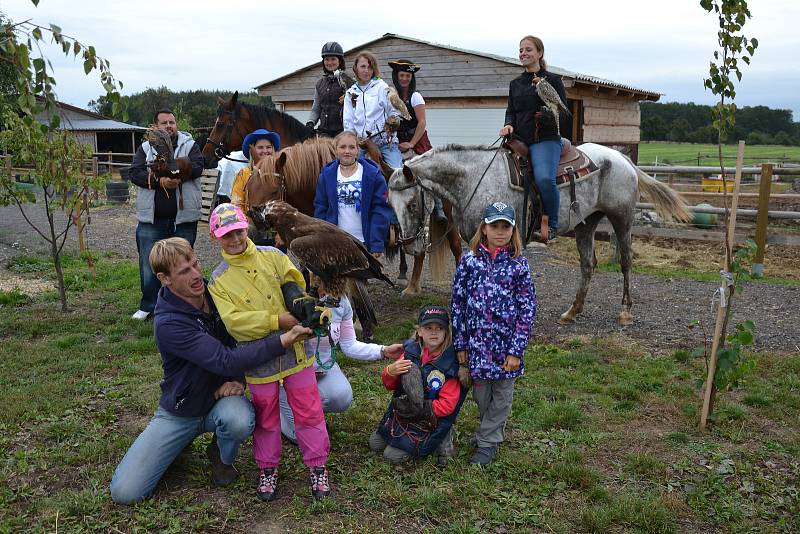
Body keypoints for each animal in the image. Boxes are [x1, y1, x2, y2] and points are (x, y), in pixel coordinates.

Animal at [244, 137, 462, 298]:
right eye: (248, 186)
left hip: (448, 222)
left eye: (274, 191)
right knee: (418, 250)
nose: (254, 220)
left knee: (455, 247)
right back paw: (412, 287)